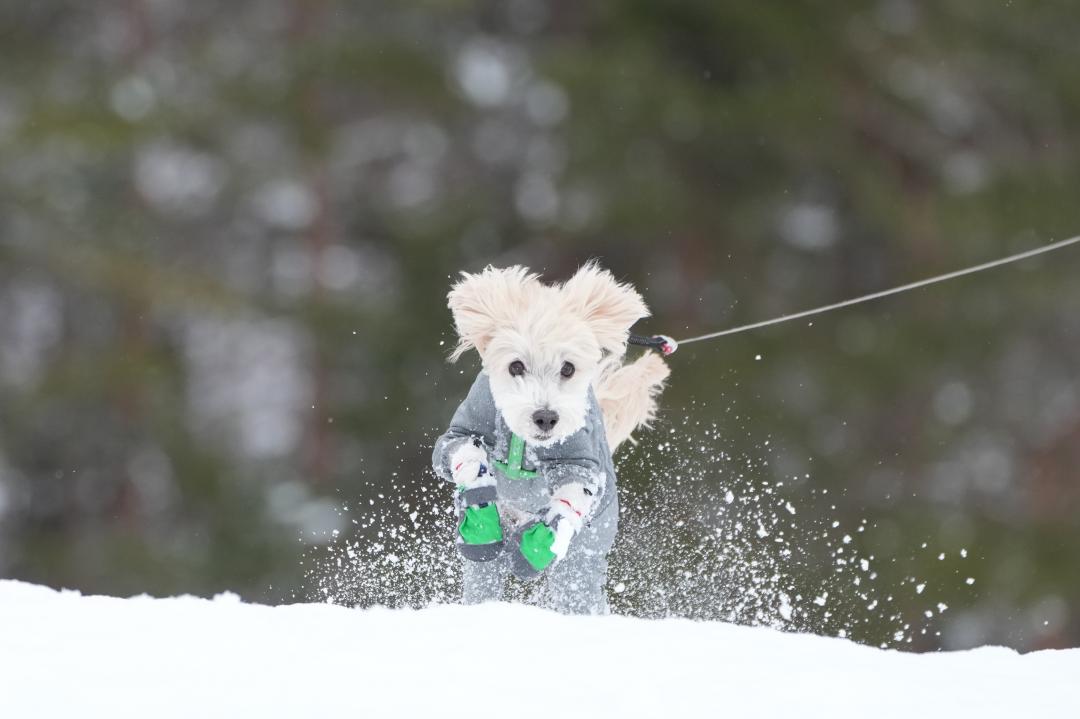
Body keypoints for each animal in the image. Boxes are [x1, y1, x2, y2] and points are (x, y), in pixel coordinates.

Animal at [427, 260, 665, 613]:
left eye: (568, 368)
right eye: (515, 366)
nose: (546, 417)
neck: (524, 444)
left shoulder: (581, 460)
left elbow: (572, 494)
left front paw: (534, 547)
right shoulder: (464, 426)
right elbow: (462, 452)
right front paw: (478, 490)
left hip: (584, 558)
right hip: (486, 568)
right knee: (484, 574)